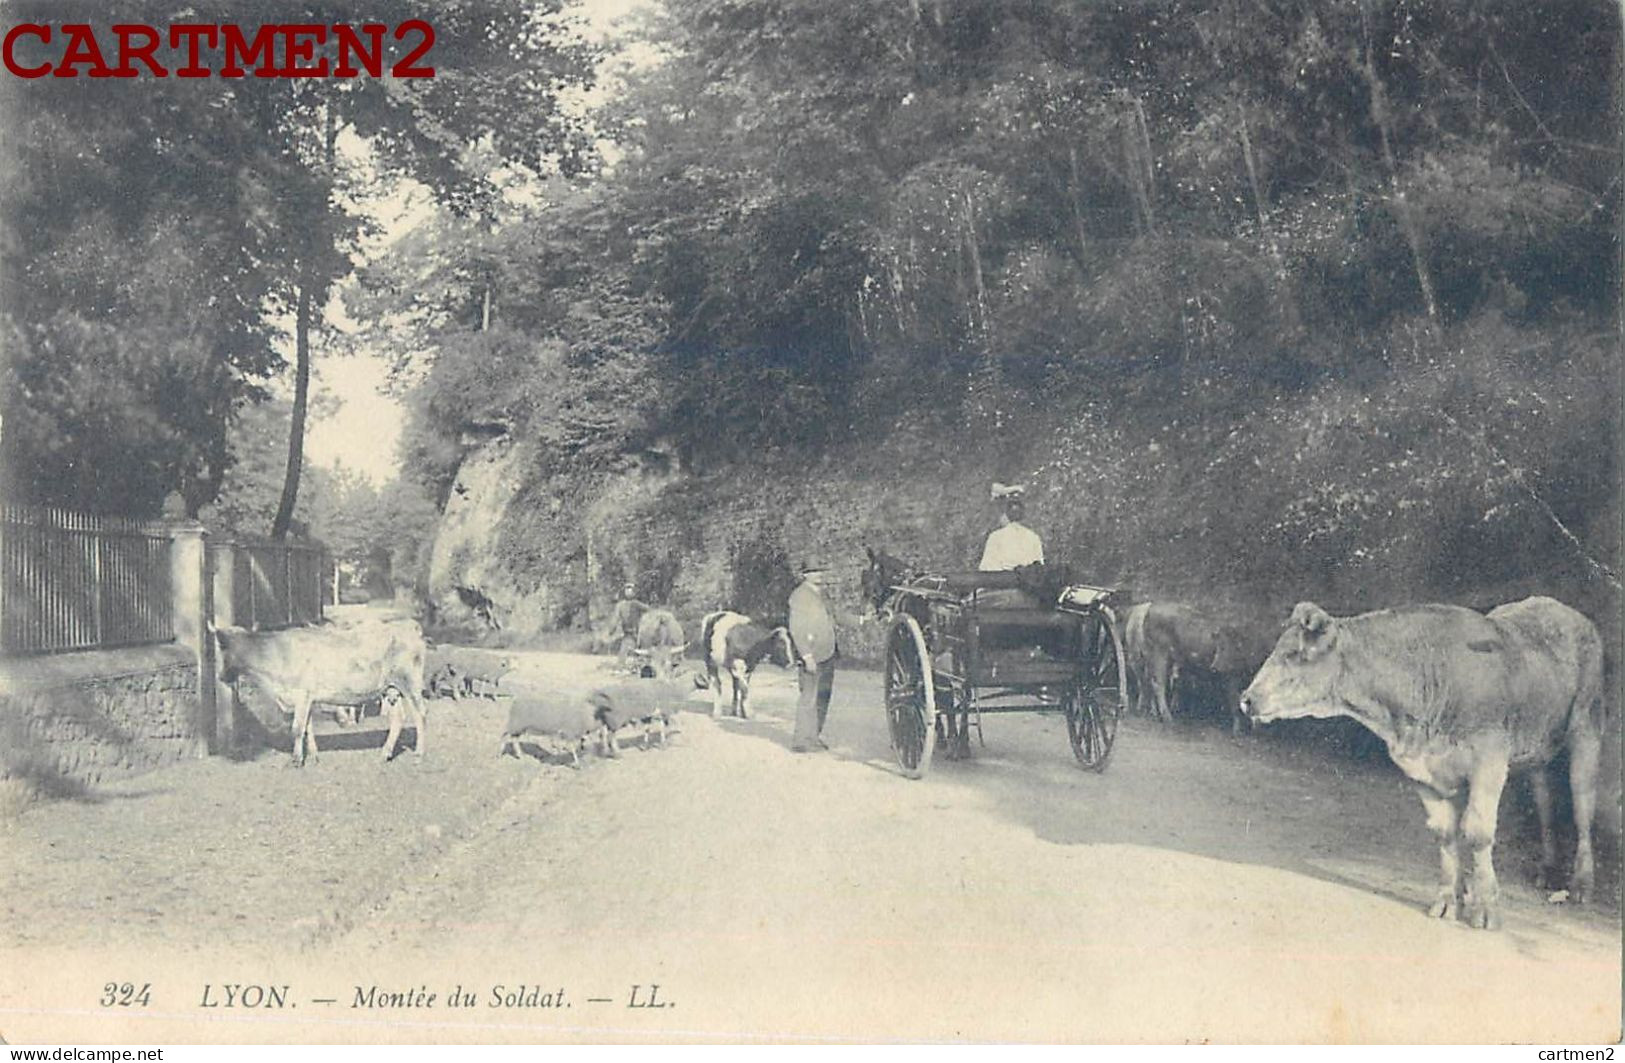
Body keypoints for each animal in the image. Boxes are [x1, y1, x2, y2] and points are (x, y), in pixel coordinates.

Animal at [1241, 598, 1599, 936]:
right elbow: (1445, 833)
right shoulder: (1420, 770)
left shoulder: (1489, 759)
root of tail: (1557, 606)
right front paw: (1448, 900)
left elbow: (1478, 832)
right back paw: (1546, 870)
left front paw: (1485, 908)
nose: (1246, 699)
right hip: (1536, 752)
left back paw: (1581, 884)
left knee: (1582, 807)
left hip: (1588, 730)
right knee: (1544, 800)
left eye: (1294, 654)